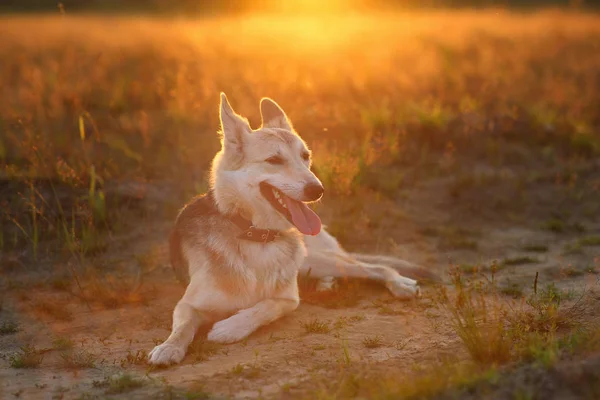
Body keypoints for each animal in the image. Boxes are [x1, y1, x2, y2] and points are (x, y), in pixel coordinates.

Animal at [149, 94, 432, 366]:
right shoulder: (187, 304)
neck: (257, 237)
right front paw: (168, 347)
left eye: (305, 157)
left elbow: (267, 306)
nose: (318, 189)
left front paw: (230, 327)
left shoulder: (288, 299)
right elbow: (183, 328)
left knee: (372, 267)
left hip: (313, 259)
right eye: (274, 160)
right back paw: (327, 284)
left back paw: (398, 283)